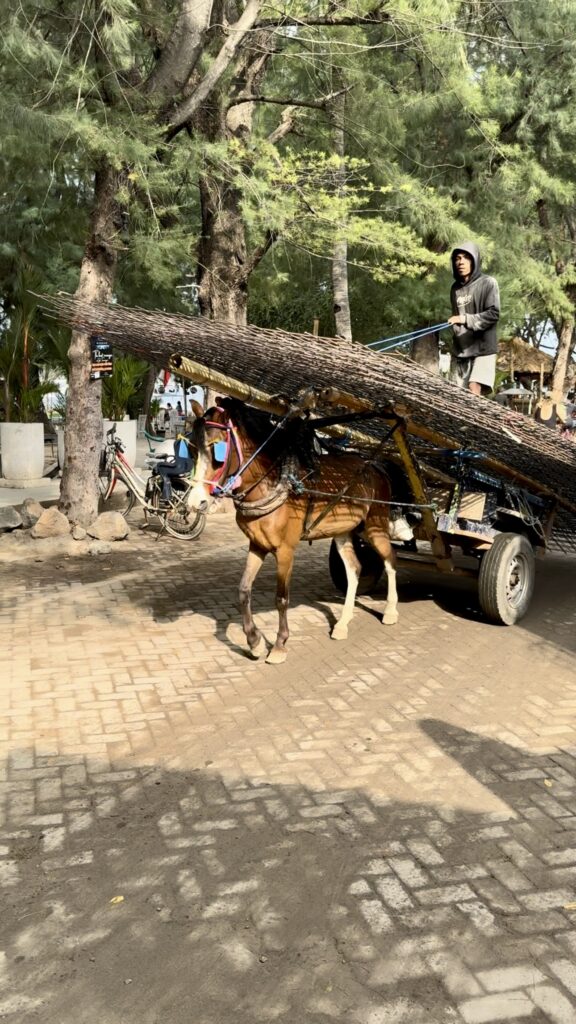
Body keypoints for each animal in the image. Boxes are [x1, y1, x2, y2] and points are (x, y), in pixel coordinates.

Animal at [188, 395, 403, 667]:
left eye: (217, 450)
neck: (273, 484)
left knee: (390, 560)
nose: (195, 503)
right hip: (344, 531)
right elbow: (243, 590)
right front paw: (255, 643)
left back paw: (391, 611)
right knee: (355, 569)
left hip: (375, 527)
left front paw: (279, 645)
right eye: (191, 449)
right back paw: (342, 624)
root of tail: (376, 465)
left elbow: (281, 598)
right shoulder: (257, 545)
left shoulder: (286, 550)